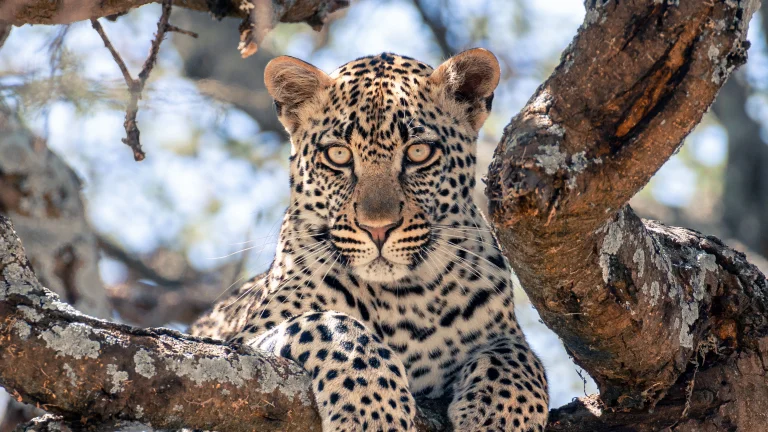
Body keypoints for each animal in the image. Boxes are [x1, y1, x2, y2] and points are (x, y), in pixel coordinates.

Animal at [190, 49, 549, 432]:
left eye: (419, 152)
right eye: (338, 154)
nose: (378, 229)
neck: (404, 298)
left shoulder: (504, 332)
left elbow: (519, 356)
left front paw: (502, 414)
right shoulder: (242, 346)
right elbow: (329, 324)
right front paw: (375, 410)